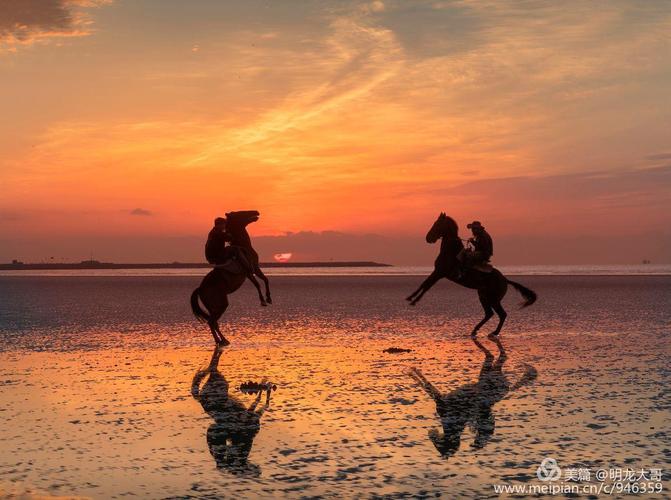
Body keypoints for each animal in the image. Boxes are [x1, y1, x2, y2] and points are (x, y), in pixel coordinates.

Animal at [190, 210, 271, 346]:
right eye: (241, 213)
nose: (256, 212)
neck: (243, 245)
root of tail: (200, 289)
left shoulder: (253, 271)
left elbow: (263, 281)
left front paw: (267, 299)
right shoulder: (252, 270)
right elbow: (260, 282)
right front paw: (265, 300)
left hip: (212, 307)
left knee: (214, 322)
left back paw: (223, 340)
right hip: (221, 304)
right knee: (212, 321)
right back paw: (222, 341)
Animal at [406, 213, 537, 337]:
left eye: (437, 224)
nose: (428, 238)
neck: (450, 252)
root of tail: (505, 279)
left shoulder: (439, 273)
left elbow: (427, 285)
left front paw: (413, 300)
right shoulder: (436, 271)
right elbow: (424, 284)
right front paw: (410, 297)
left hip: (494, 300)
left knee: (502, 314)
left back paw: (494, 333)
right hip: (483, 296)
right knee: (489, 314)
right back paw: (475, 330)